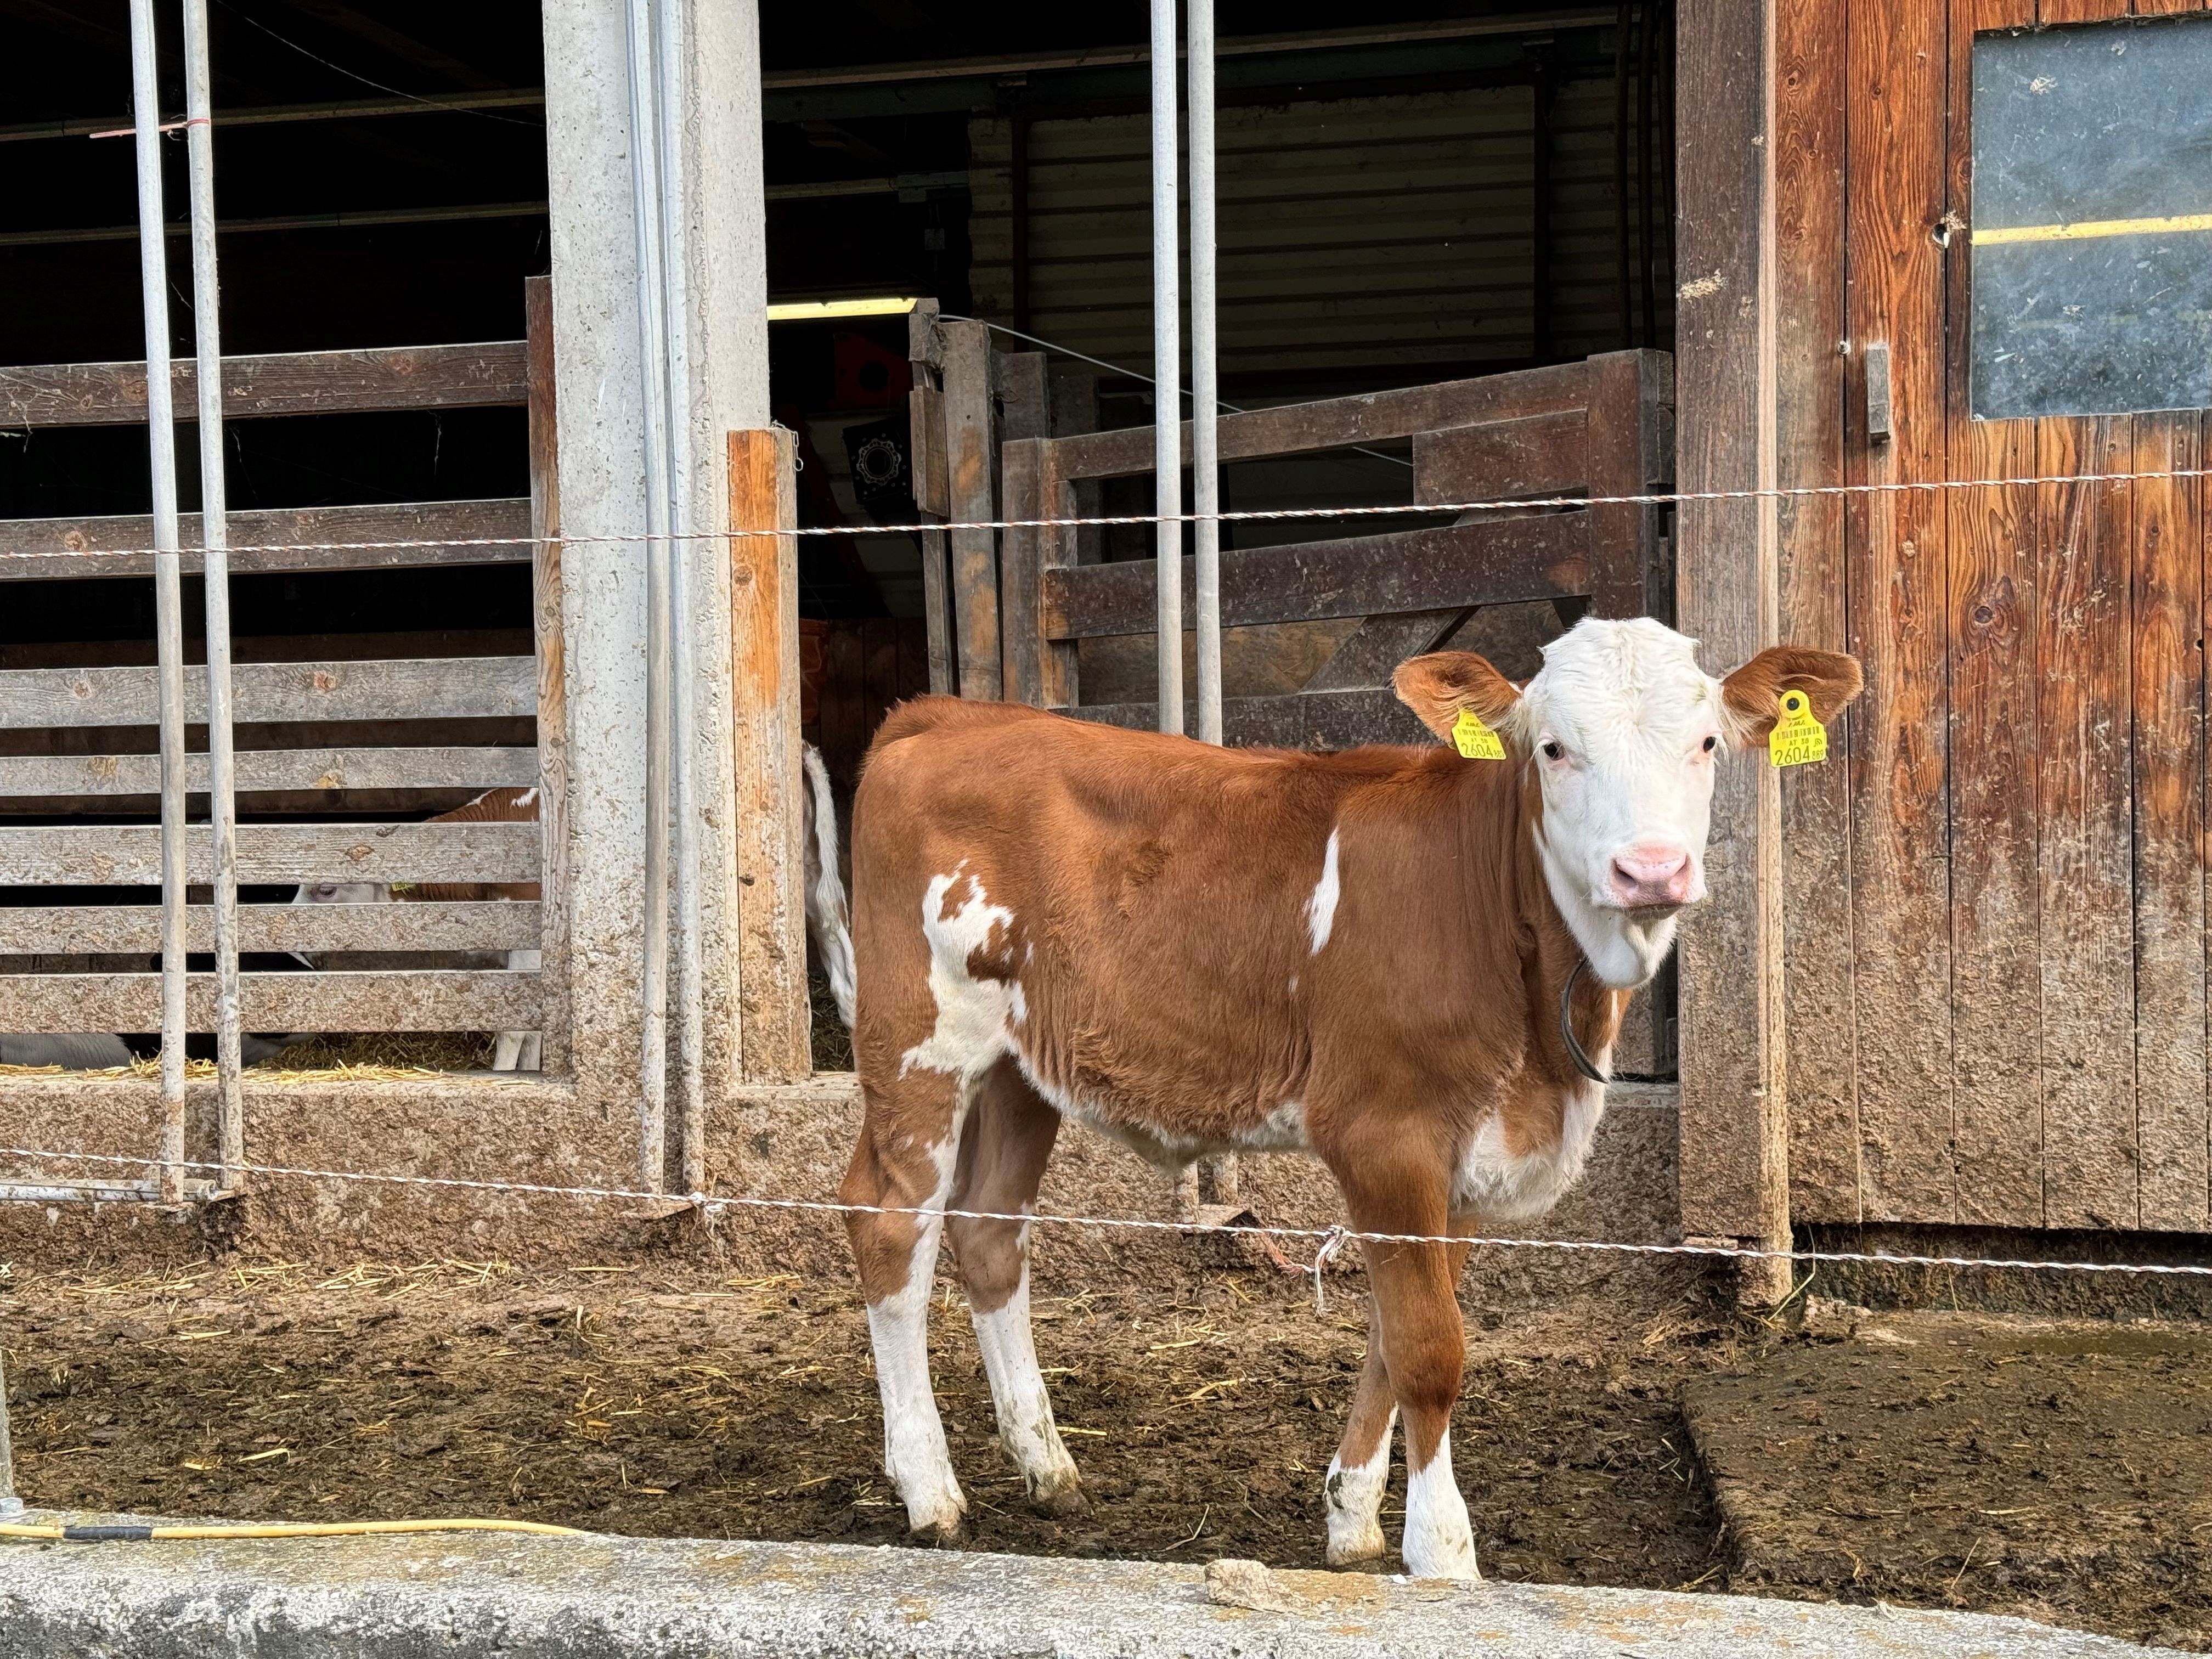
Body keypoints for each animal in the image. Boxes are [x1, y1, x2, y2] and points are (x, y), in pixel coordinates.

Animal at [832, 615, 1861, 1579]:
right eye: (1552, 748)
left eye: (1708, 743)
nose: (1650, 870)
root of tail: (950, 716)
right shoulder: (1384, 1130)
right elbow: (1430, 1350)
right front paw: (1442, 1552)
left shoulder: (1469, 1155)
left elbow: (1393, 1332)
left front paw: (1352, 1517)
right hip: (919, 1039)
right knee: (890, 1220)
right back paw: (930, 1489)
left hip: (1018, 1065)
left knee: (989, 1227)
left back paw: (1048, 1468)